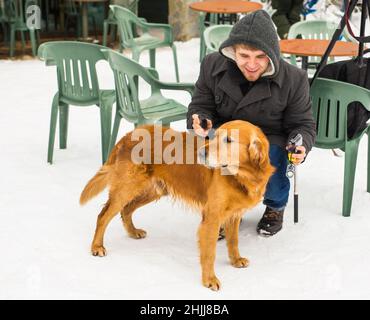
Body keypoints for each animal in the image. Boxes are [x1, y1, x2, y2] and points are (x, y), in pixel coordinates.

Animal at [79, 119, 274, 290]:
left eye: (229, 140)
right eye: (215, 136)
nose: (201, 154)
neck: (241, 176)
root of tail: (128, 135)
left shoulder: (234, 214)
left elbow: (233, 241)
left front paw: (235, 260)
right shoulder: (211, 217)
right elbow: (209, 253)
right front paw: (209, 279)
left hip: (154, 190)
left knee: (126, 209)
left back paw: (133, 232)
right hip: (126, 188)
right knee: (103, 215)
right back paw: (97, 247)